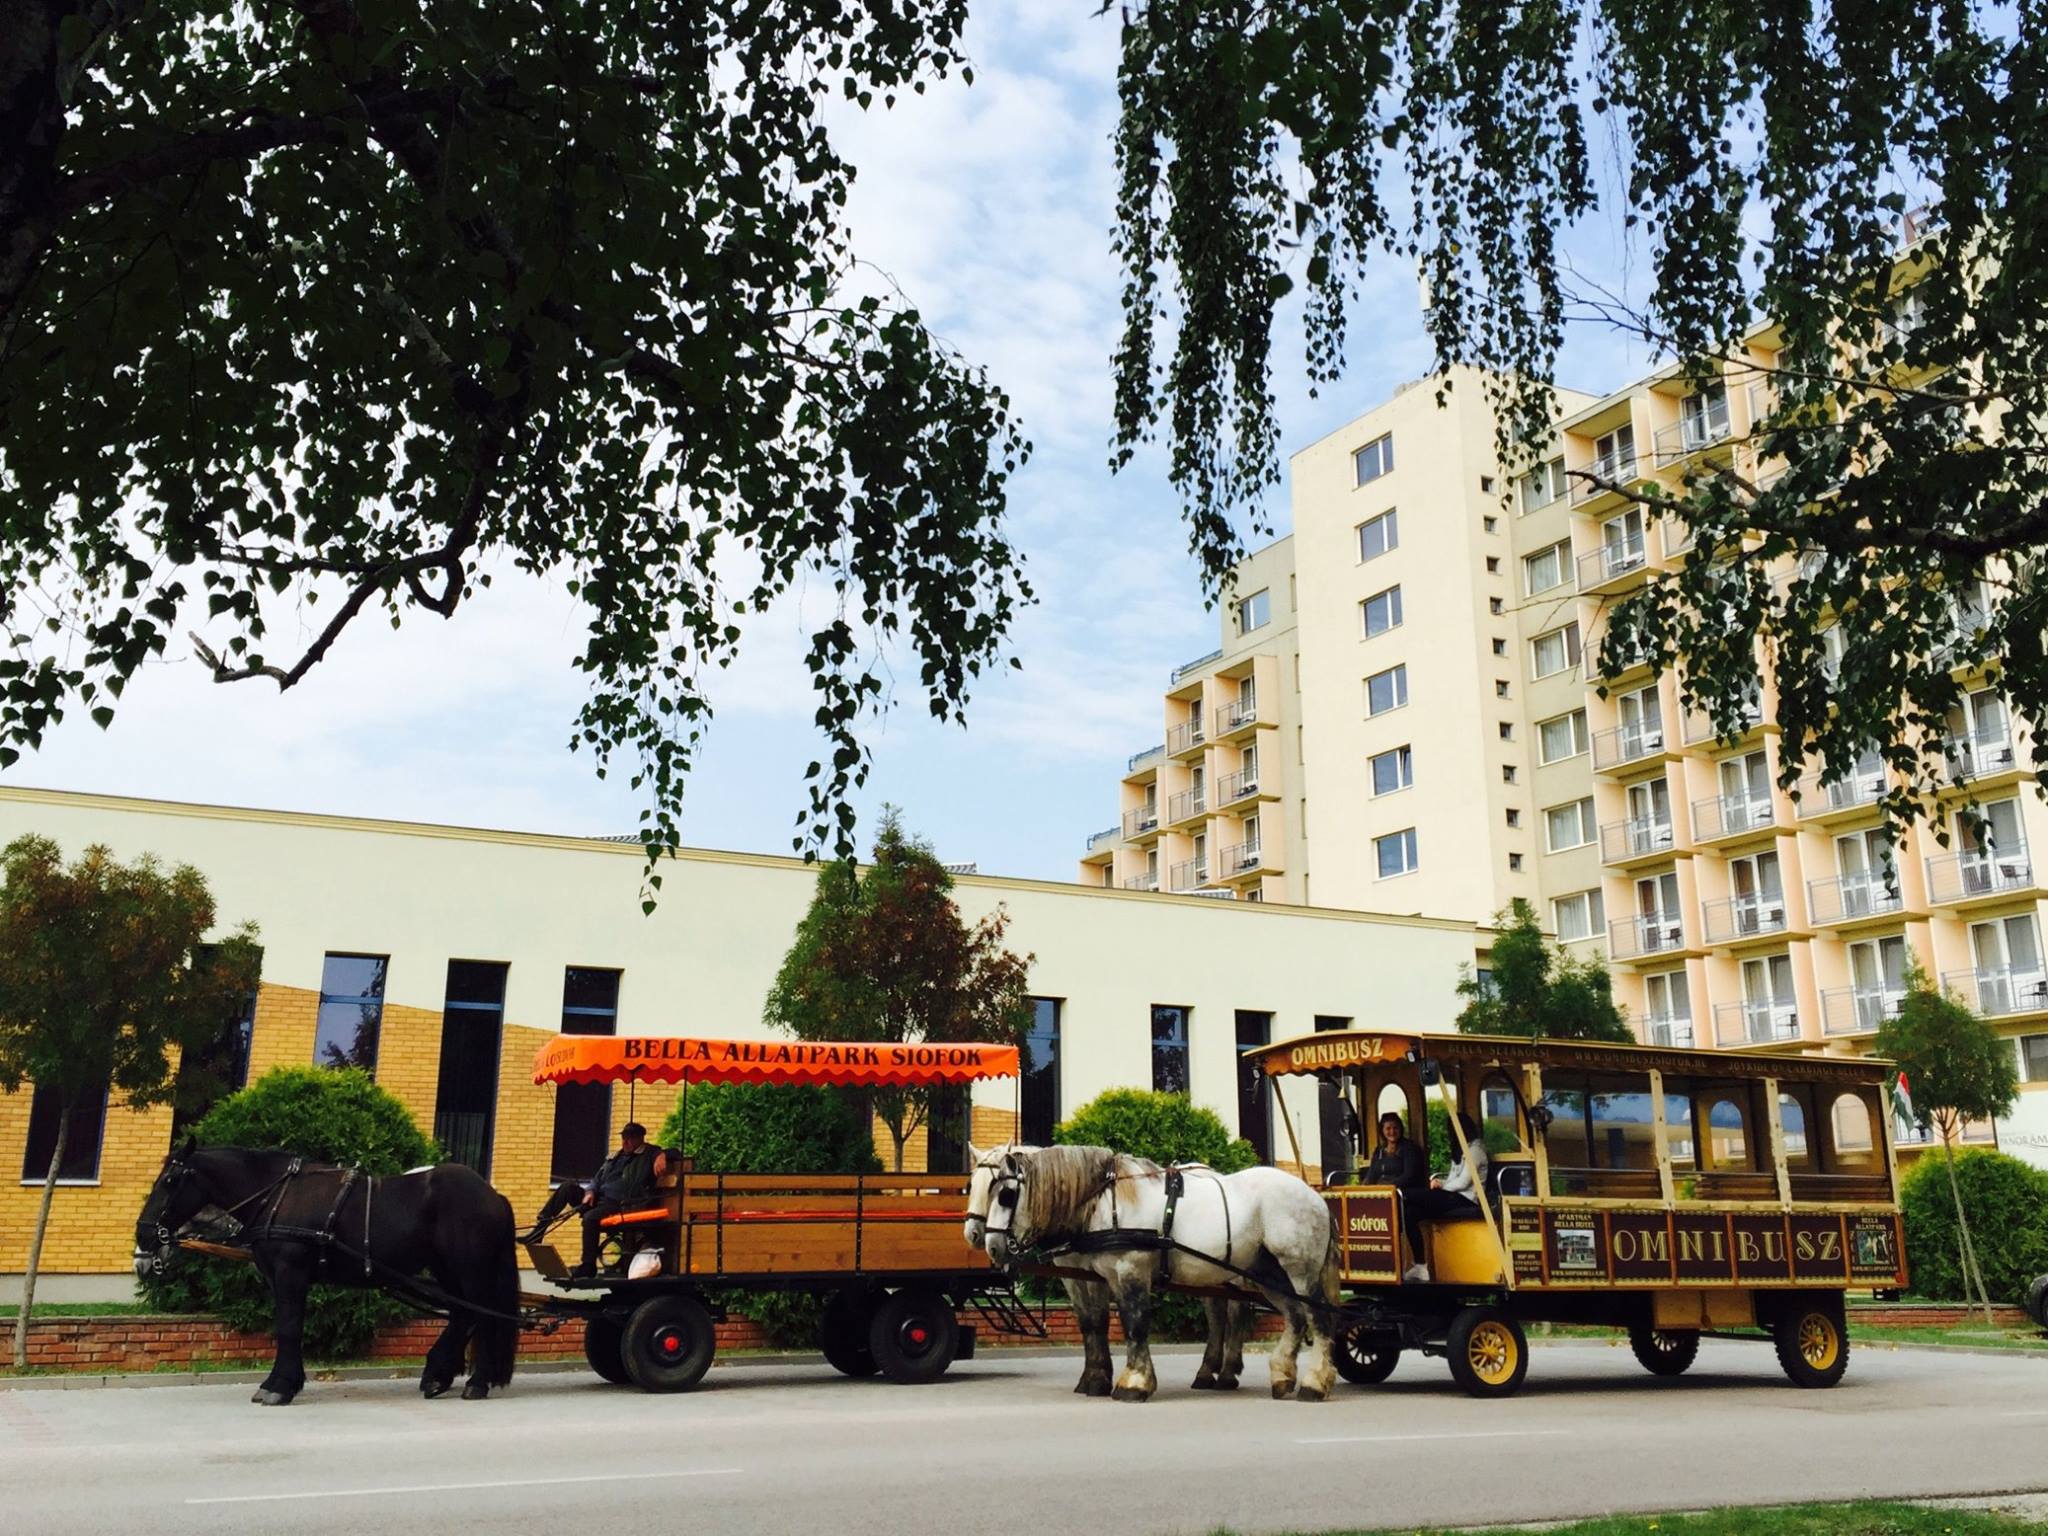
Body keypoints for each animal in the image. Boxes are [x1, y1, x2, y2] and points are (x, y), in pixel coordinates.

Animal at [136, 1146, 520, 1409]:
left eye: (170, 1181)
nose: (144, 1235)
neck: (277, 1195)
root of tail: (493, 1194)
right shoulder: (279, 1278)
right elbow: (286, 1327)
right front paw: (284, 1381)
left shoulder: (290, 1273)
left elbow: (289, 1328)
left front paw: (279, 1386)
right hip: (446, 1268)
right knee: (463, 1314)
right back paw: (438, 1376)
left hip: (471, 1268)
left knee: (482, 1315)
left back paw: (476, 1382)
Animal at [974, 1146, 1343, 1409]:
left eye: (1005, 1194)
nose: (987, 1243)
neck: (1101, 1202)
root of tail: (1315, 1197)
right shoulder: (1095, 1276)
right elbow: (1096, 1325)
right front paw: (1097, 1380)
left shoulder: (1130, 1270)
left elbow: (1135, 1325)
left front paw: (1133, 1384)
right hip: (1267, 1272)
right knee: (1294, 1318)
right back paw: (1281, 1376)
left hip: (1298, 1269)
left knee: (1318, 1318)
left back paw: (1312, 1383)